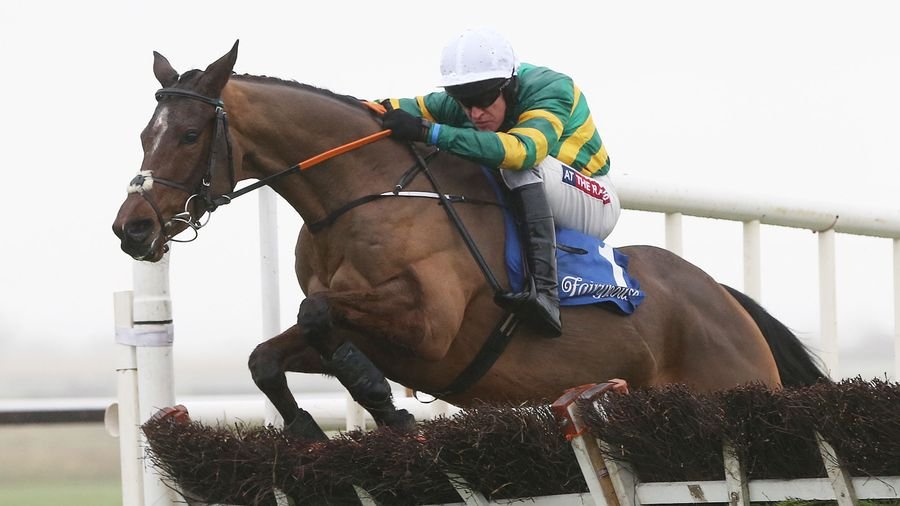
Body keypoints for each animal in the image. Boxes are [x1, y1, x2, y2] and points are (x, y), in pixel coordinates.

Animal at [112, 41, 827, 440]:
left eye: (187, 135)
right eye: (143, 133)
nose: (132, 227)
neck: (359, 199)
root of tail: (728, 304)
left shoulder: (428, 327)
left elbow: (317, 312)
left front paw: (387, 408)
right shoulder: (375, 337)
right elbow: (270, 354)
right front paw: (316, 424)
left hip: (727, 386)